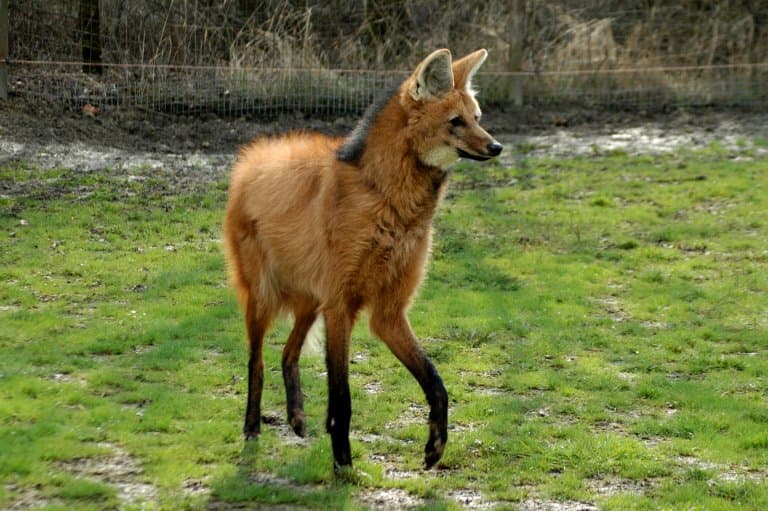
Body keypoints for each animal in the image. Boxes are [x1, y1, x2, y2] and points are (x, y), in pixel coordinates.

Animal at [224, 49, 498, 472]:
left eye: (478, 118)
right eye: (456, 121)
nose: (496, 146)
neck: (391, 201)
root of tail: (252, 158)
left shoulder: (387, 312)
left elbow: (436, 381)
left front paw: (435, 445)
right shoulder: (342, 305)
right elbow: (342, 396)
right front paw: (342, 463)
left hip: (311, 299)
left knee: (288, 352)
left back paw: (297, 416)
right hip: (266, 297)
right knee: (257, 362)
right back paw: (252, 426)